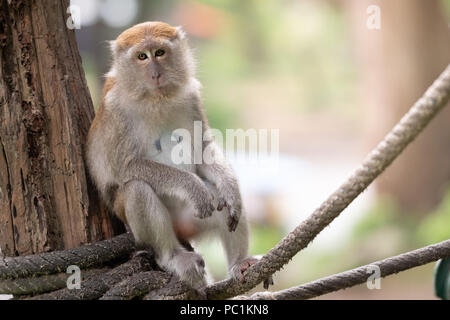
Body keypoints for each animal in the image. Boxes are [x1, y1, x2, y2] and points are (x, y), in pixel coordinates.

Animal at [86, 21, 262, 288]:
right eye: (141, 56)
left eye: (159, 53)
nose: (155, 74)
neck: (155, 98)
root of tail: (180, 231)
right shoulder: (116, 113)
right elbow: (125, 167)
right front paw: (191, 186)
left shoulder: (192, 96)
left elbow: (203, 147)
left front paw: (229, 187)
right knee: (137, 189)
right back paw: (173, 257)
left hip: (194, 221)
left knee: (221, 200)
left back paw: (240, 261)